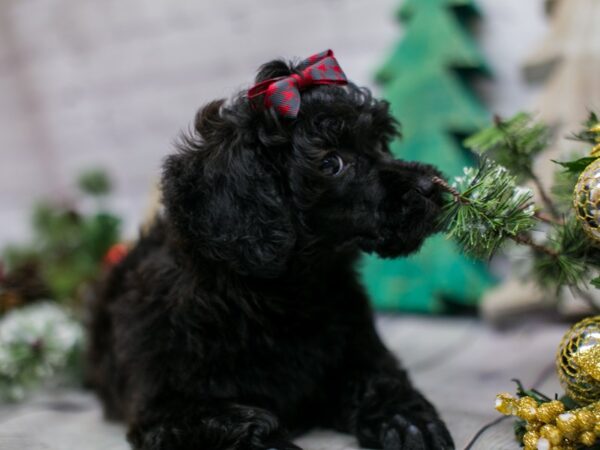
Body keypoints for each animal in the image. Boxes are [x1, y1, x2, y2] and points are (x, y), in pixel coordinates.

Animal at [88, 50, 454, 450]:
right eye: (331, 163)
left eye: (381, 143)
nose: (432, 186)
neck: (282, 297)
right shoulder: (166, 408)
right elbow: (231, 423)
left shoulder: (359, 350)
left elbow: (379, 379)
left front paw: (407, 422)